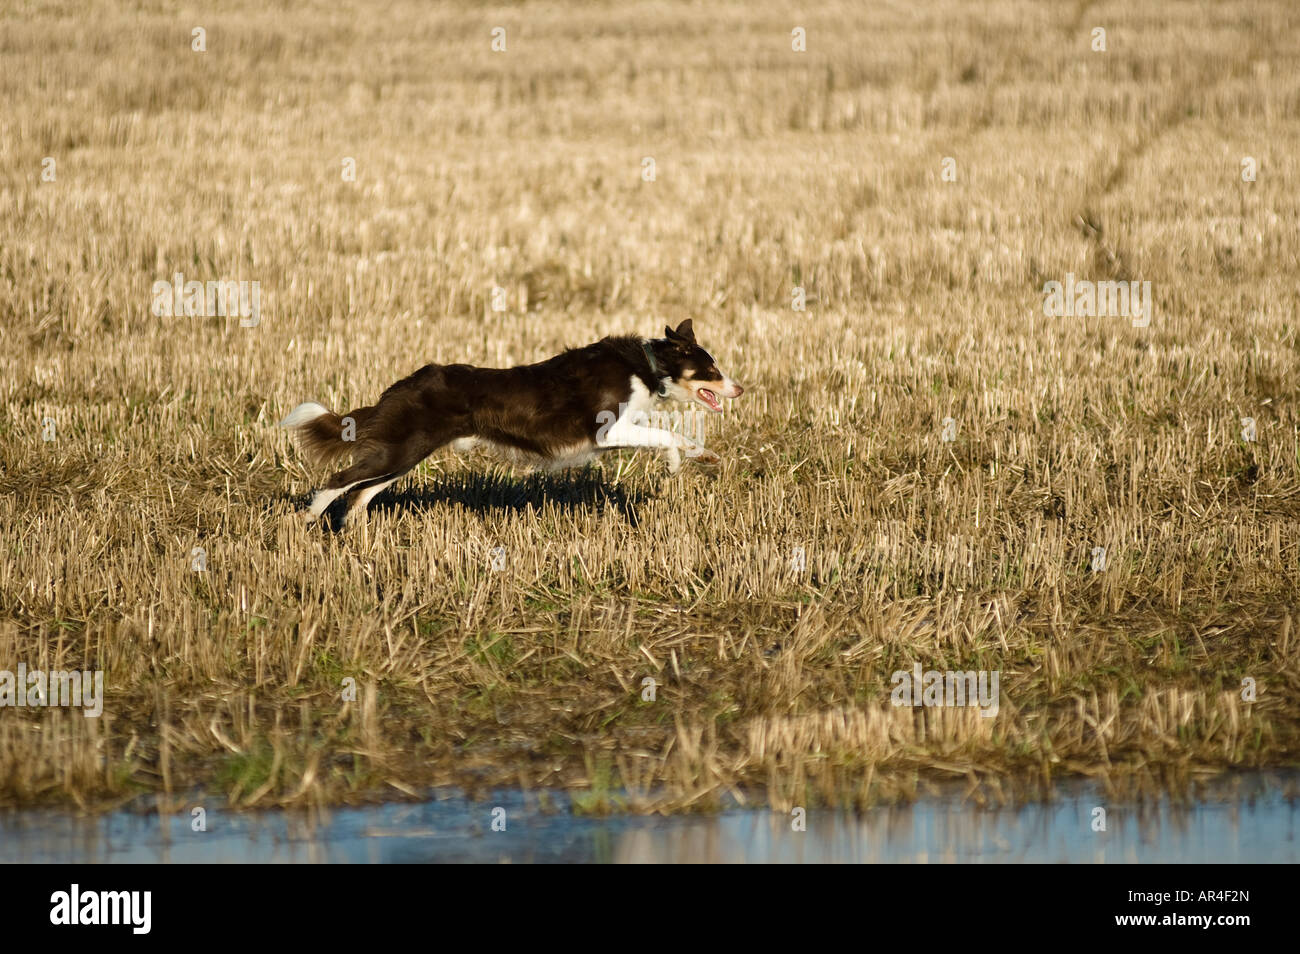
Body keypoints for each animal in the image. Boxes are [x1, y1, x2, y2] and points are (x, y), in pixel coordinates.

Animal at [276, 324, 743, 527]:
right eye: (711, 369)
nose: (739, 388)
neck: (647, 366)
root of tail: (404, 383)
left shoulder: (624, 428)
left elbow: (673, 432)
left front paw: (701, 456)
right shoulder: (607, 430)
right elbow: (666, 434)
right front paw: (676, 461)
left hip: (403, 454)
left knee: (361, 491)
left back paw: (352, 530)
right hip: (399, 450)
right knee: (340, 480)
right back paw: (306, 519)